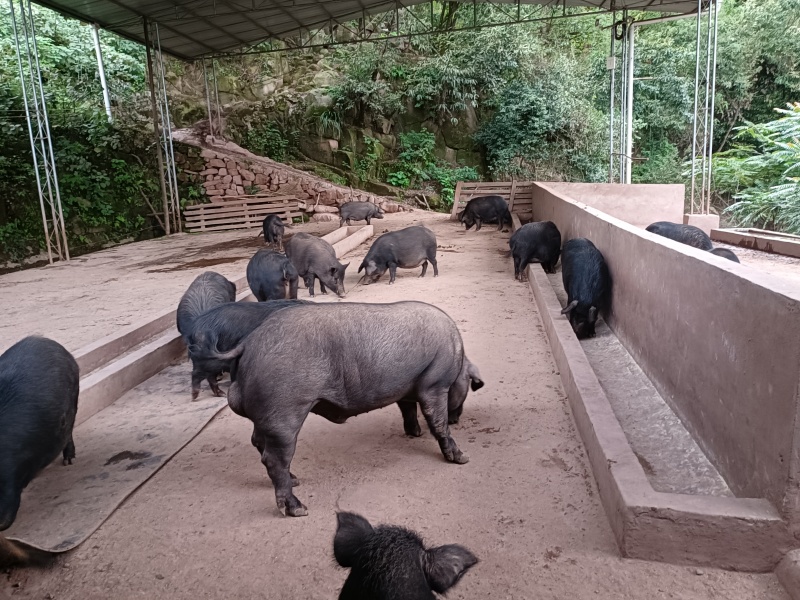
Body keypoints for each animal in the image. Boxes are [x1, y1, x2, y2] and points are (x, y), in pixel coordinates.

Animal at [203, 302, 484, 516]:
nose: (458, 419)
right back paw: (299, 509)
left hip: (266, 417)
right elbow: (438, 422)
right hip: (284, 412)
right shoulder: (434, 384)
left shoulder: (406, 388)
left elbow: (407, 408)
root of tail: (249, 343)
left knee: (258, 443)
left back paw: (295, 479)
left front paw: (415, 433)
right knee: (273, 458)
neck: (459, 358)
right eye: (467, 387)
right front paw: (463, 458)